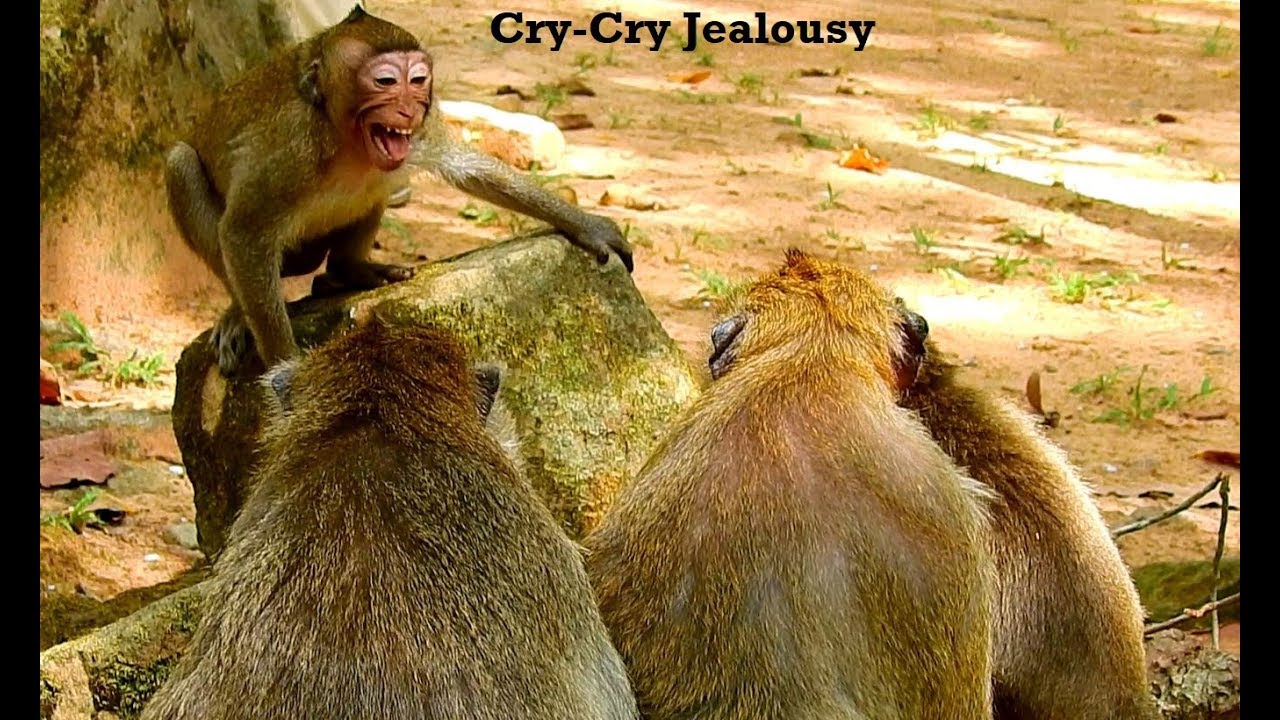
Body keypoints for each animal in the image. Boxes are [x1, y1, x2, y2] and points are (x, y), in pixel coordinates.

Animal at [165, 7, 633, 377]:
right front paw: (286, 367)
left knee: (373, 196)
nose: (409, 108)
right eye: (386, 81)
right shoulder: (291, 148)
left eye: (419, 80)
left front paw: (588, 226)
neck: (346, 139)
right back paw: (238, 313)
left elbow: (467, 168)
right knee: (181, 165)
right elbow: (244, 232)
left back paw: (352, 270)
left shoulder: (424, 128)